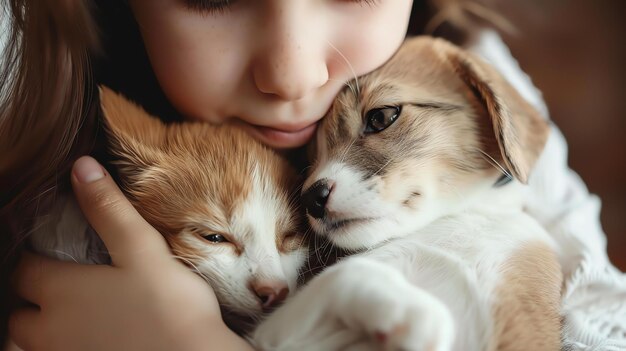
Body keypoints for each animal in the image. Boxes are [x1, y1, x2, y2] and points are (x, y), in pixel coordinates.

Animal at [251, 36, 560, 351]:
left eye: (382, 117)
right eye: (311, 156)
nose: (311, 199)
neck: (456, 224)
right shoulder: (275, 331)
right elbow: (347, 271)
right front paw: (420, 316)